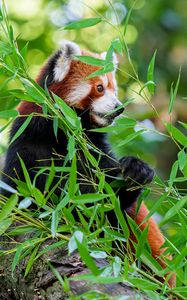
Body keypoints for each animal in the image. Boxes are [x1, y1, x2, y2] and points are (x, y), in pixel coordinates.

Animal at [1, 41, 175, 288]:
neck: (66, 136)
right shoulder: (27, 147)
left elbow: (108, 203)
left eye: (114, 89)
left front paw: (136, 171)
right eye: (100, 88)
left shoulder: (95, 151)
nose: (119, 108)